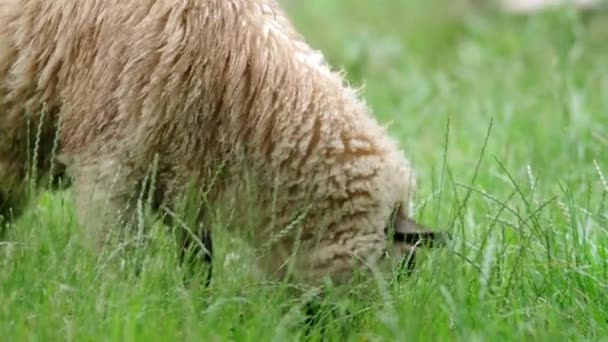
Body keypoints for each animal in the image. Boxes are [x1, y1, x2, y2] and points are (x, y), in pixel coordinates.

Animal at [0, 0, 446, 288]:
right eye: (400, 270)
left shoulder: (186, 178)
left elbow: (199, 260)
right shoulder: (107, 169)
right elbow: (121, 257)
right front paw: (120, 302)